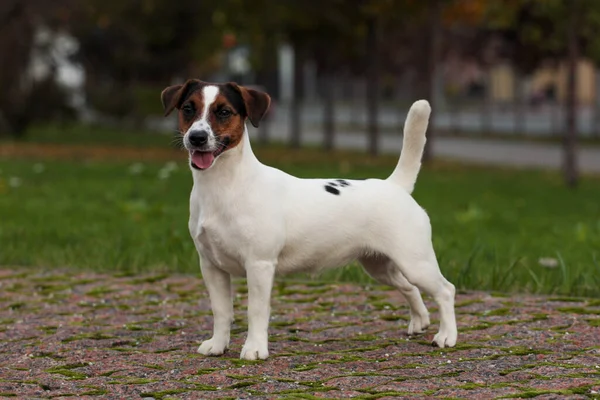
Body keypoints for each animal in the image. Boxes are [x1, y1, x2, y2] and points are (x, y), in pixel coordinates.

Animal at [162, 79, 458, 360]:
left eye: (224, 111)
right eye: (187, 108)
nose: (197, 137)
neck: (224, 186)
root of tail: (395, 185)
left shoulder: (259, 265)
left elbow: (255, 311)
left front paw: (255, 349)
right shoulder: (211, 266)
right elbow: (221, 311)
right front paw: (218, 345)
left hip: (415, 262)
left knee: (445, 290)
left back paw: (446, 336)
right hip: (380, 266)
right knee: (410, 288)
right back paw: (419, 321)